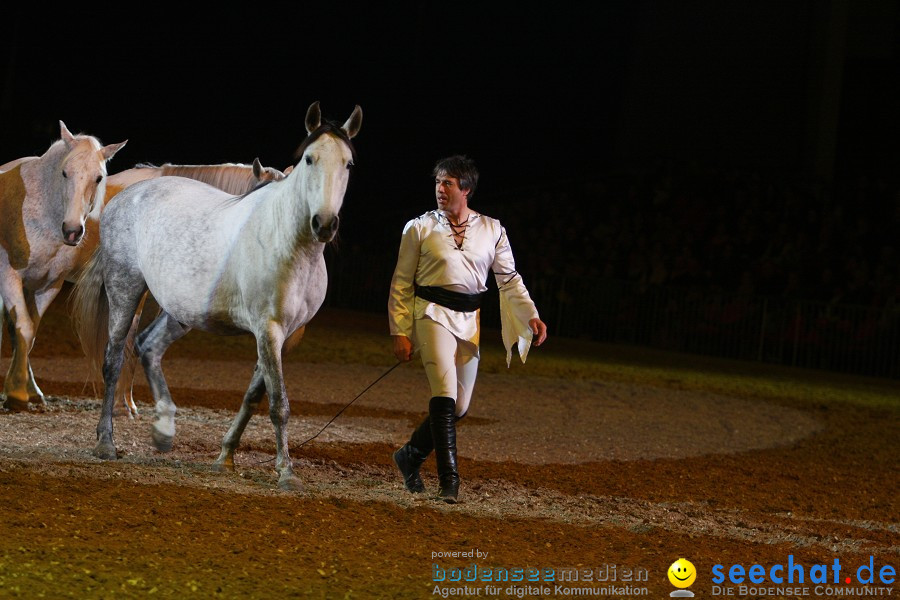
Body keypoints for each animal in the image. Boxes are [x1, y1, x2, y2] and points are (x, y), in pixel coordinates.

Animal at [72, 101, 362, 490]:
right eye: (309, 159)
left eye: (348, 163)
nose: (325, 223)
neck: (290, 243)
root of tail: (123, 198)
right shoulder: (268, 329)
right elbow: (278, 404)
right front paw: (286, 471)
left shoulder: (283, 336)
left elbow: (254, 397)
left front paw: (226, 457)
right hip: (125, 289)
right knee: (114, 357)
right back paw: (106, 442)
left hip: (180, 311)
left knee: (149, 346)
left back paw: (164, 430)